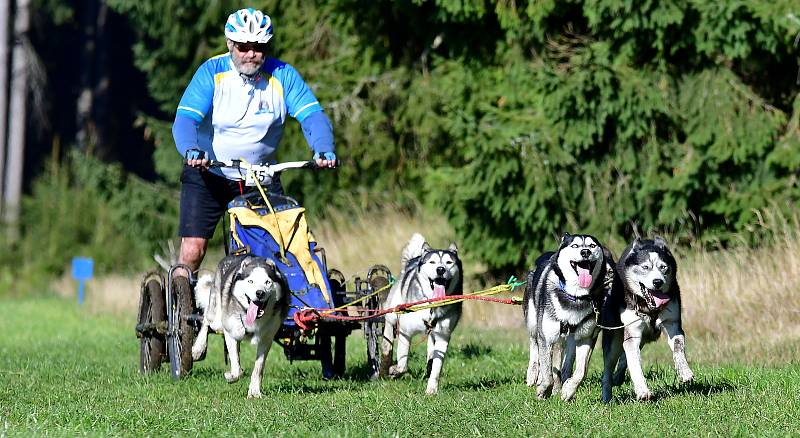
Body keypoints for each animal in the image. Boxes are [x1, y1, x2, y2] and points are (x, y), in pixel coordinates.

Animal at [191, 255, 290, 398]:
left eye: (267, 282)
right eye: (250, 281)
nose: (260, 293)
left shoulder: (266, 339)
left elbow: (258, 368)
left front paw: (254, 391)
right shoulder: (230, 332)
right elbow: (236, 366)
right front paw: (231, 376)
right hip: (217, 317)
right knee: (206, 321)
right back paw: (198, 349)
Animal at [380, 234, 462, 396]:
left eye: (449, 262)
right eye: (432, 262)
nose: (440, 269)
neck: (431, 306)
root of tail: (415, 258)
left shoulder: (443, 335)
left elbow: (437, 365)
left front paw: (431, 389)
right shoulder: (405, 331)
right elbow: (402, 363)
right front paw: (394, 370)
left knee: (431, 350)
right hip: (394, 310)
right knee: (388, 327)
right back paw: (386, 358)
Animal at [524, 233, 612, 400]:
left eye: (592, 246)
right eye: (575, 246)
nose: (585, 252)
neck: (576, 296)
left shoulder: (586, 336)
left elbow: (581, 371)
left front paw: (568, 389)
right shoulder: (546, 337)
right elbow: (547, 372)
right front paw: (543, 390)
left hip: (568, 338)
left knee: (565, 363)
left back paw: (561, 384)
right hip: (533, 322)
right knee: (534, 346)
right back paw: (533, 375)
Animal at [600, 238, 692, 402]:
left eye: (663, 267)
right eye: (645, 267)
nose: (658, 282)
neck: (649, 307)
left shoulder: (672, 324)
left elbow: (678, 347)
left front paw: (684, 371)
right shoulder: (633, 330)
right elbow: (634, 363)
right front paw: (642, 390)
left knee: (624, 357)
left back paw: (618, 376)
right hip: (613, 340)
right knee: (609, 369)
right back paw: (607, 397)